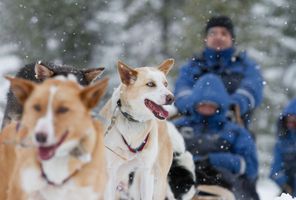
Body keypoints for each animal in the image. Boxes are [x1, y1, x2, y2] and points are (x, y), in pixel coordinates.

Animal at [100, 58, 175, 199]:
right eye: (150, 84)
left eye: (165, 84)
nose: (171, 98)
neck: (134, 122)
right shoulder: (110, 172)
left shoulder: (146, 172)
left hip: (157, 180)